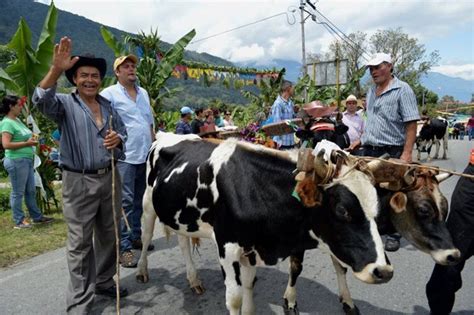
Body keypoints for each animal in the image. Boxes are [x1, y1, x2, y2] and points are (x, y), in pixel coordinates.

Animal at [137, 132, 392, 314]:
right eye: (342, 210)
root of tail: (166, 134)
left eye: (378, 210)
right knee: (146, 236)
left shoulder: (254, 247)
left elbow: (251, 287)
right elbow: (235, 299)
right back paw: (141, 271)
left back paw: (194, 280)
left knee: (183, 243)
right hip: (148, 204)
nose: (384, 271)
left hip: (181, 215)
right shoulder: (228, 247)